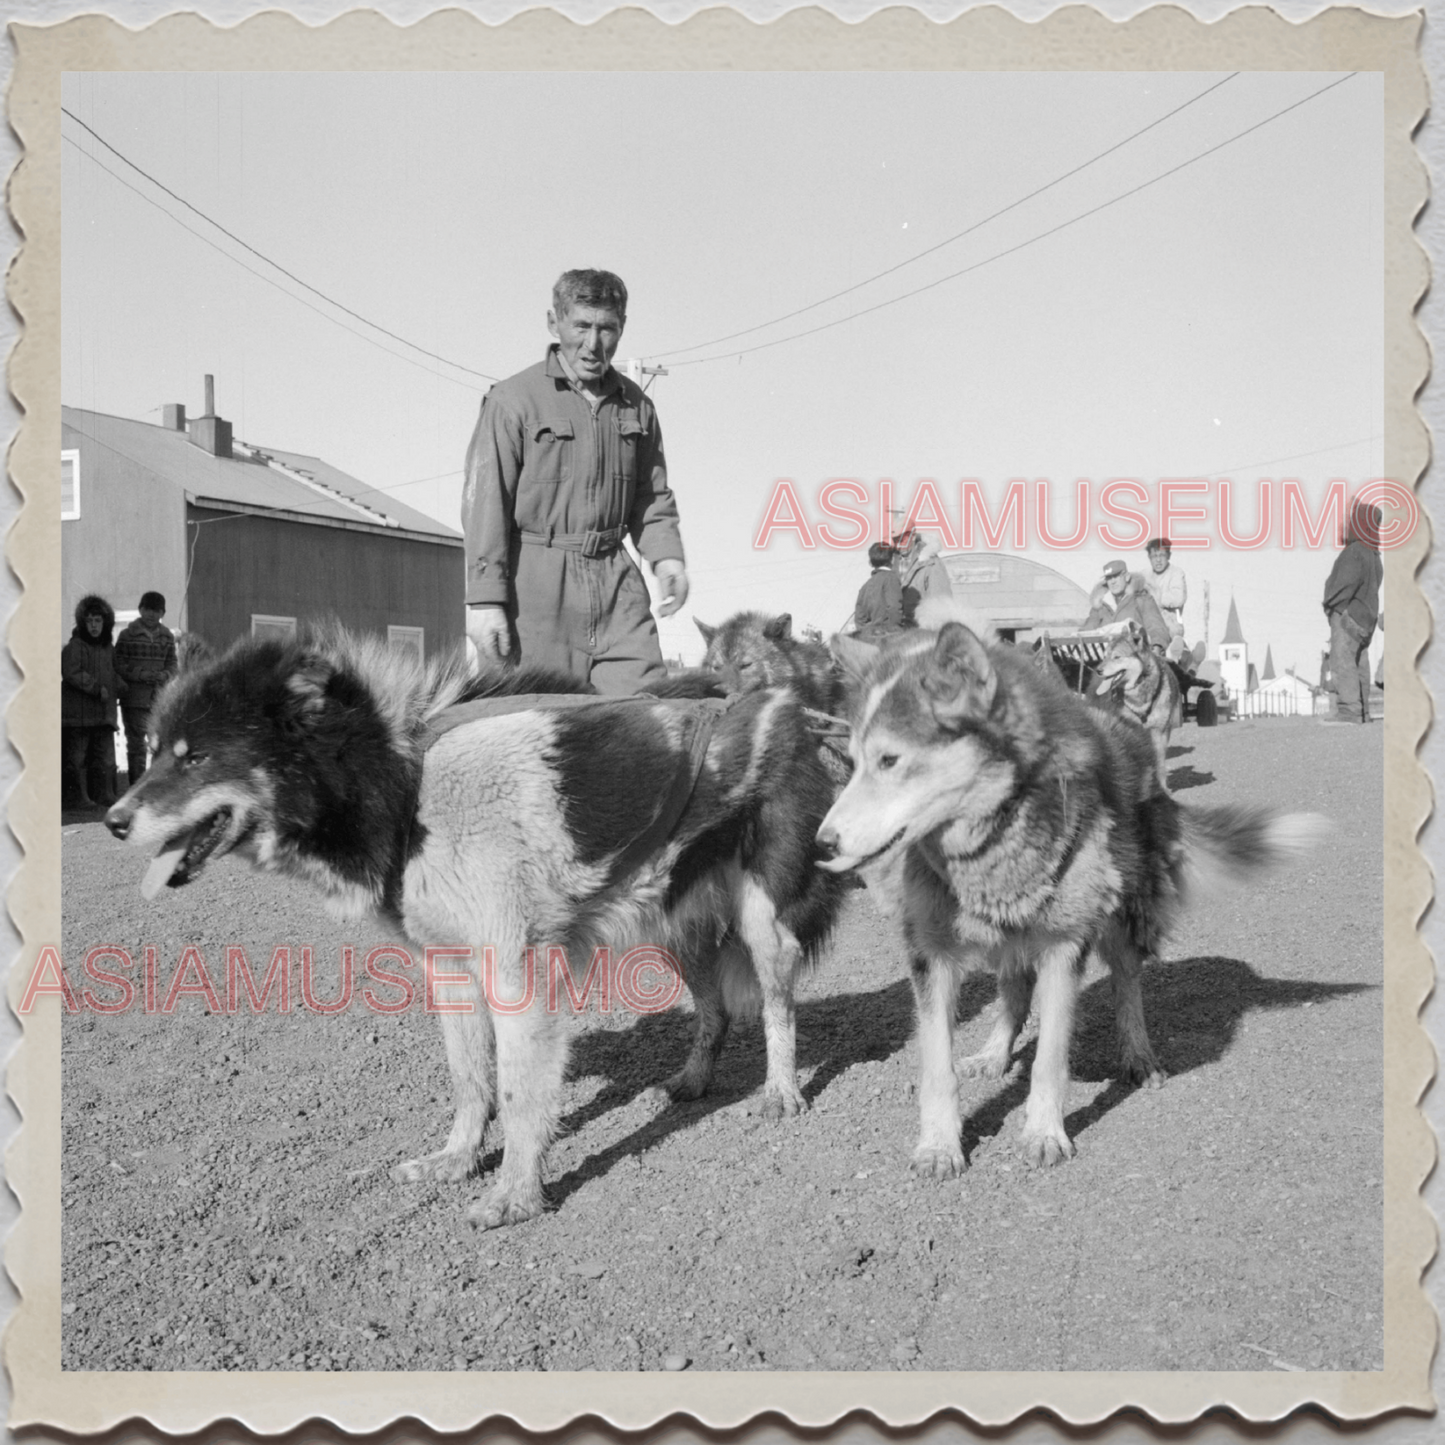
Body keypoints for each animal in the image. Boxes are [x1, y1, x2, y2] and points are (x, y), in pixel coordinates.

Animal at [109, 632, 843, 1231]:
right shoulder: (451, 969)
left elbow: (517, 1095)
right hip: (671, 917)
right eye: (154, 752)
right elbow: (470, 1080)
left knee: (775, 1004)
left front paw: (515, 1196)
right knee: (714, 1008)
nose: (113, 821)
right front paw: (457, 1160)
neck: (405, 781)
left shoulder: (517, 974)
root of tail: (782, 698)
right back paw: (693, 1079)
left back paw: (781, 1090)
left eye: (196, 758)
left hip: (761, 920)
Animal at [820, 621, 1317, 1173]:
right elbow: (936, 1067)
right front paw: (939, 1144)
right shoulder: (933, 955)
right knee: (1015, 994)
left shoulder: (1063, 946)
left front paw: (1043, 1132)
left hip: (1121, 921)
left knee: (1127, 986)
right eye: (854, 762)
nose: (823, 842)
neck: (993, 840)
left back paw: (1138, 1057)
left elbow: (1050, 1058)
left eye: (890, 759)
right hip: (1009, 936)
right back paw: (994, 1053)